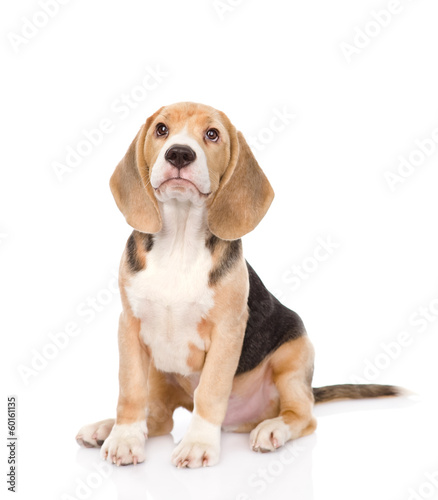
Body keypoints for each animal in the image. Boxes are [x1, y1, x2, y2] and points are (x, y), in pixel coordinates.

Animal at [75, 101, 400, 468]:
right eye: (161, 129)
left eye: (212, 134)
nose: (179, 154)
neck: (179, 243)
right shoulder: (129, 325)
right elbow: (130, 391)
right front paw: (125, 438)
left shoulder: (228, 331)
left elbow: (211, 390)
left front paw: (198, 443)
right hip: (160, 372)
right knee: (158, 419)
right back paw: (105, 428)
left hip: (295, 355)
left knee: (303, 416)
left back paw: (273, 430)